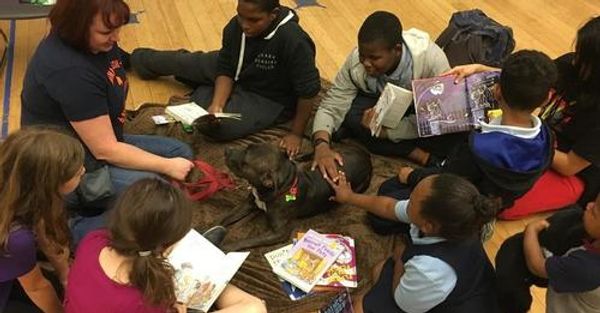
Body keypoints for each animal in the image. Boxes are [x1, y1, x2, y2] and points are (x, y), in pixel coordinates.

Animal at [220, 143, 370, 250]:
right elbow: (224, 219)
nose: (226, 149)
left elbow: (248, 241)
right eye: (247, 147)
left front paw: (224, 247)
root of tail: (366, 155)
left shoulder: (279, 233)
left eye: (244, 162)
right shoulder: (247, 204)